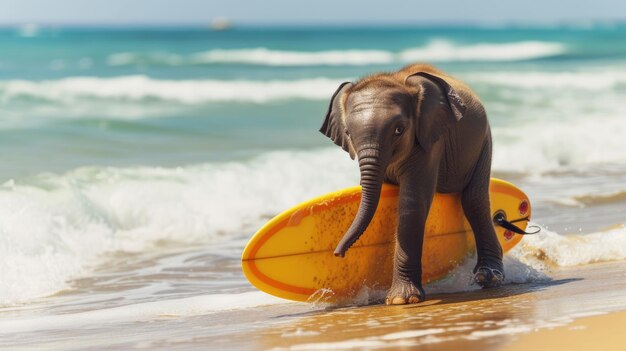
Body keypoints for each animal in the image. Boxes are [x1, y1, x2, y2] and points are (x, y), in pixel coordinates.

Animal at [320, 63, 504, 306]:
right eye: (348, 133)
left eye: (399, 129)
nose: (338, 254)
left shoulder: (431, 141)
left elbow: (412, 203)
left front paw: (401, 300)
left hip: (484, 141)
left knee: (475, 200)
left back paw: (489, 277)